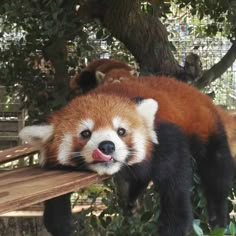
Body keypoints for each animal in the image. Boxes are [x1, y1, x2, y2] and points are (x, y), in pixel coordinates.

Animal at [19, 76, 234, 235]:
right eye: (85, 133)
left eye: (121, 131)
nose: (107, 146)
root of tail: (200, 95)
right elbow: (54, 191)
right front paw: (61, 224)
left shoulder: (166, 137)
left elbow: (176, 183)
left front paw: (175, 226)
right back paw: (133, 195)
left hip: (207, 126)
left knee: (218, 171)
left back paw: (218, 217)